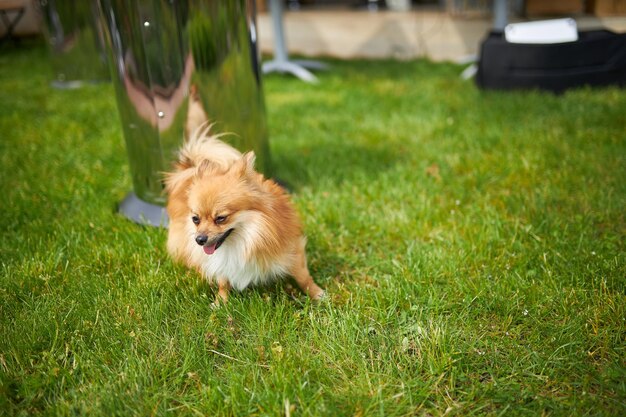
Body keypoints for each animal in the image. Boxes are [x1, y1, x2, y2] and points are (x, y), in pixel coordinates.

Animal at [163, 125, 324, 304]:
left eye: (221, 218)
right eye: (195, 219)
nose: (199, 239)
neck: (244, 239)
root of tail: (189, 168)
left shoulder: (292, 250)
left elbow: (303, 277)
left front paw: (317, 294)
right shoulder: (220, 261)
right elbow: (223, 280)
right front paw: (221, 302)